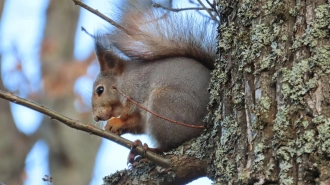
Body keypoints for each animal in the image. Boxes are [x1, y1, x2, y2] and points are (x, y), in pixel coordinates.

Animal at [91, 1, 218, 155]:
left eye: (100, 90)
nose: (96, 117)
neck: (125, 79)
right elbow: (136, 122)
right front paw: (115, 127)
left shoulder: (136, 92)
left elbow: (129, 114)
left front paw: (116, 122)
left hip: (165, 106)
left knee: (169, 144)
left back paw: (150, 149)